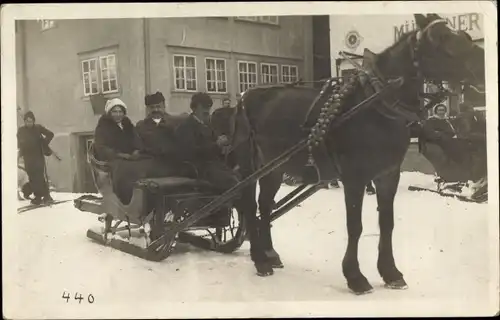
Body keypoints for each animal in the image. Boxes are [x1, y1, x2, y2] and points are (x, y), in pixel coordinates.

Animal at [210, 15, 484, 296]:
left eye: (463, 35)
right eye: (440, 38)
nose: (482, 64)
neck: (376, 104)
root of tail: (244, 97)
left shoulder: (388, 175)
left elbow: (387, 223)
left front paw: (391, 272)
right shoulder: (355, 177)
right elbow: (356, 226)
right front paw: (355, 277)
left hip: (274, 167)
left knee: (264, 205)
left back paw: (270, 254)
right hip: (250, 165)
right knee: (249, 205)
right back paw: (259, 259)